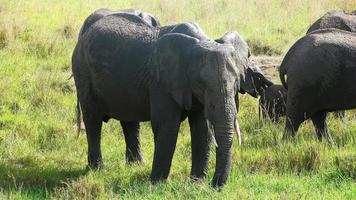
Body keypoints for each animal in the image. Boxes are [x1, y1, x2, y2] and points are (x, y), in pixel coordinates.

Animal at [71, 12, 253, 188]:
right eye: (201, 84)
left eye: (237, 82)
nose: (214, 185)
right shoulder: (162, 82)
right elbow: (167, 126)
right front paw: (156, 184)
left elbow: (202, 129)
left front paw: (196, 184)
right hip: (82, 71)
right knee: (93, 120)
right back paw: (97, 169)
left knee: (129, 121)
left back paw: (136, 165)